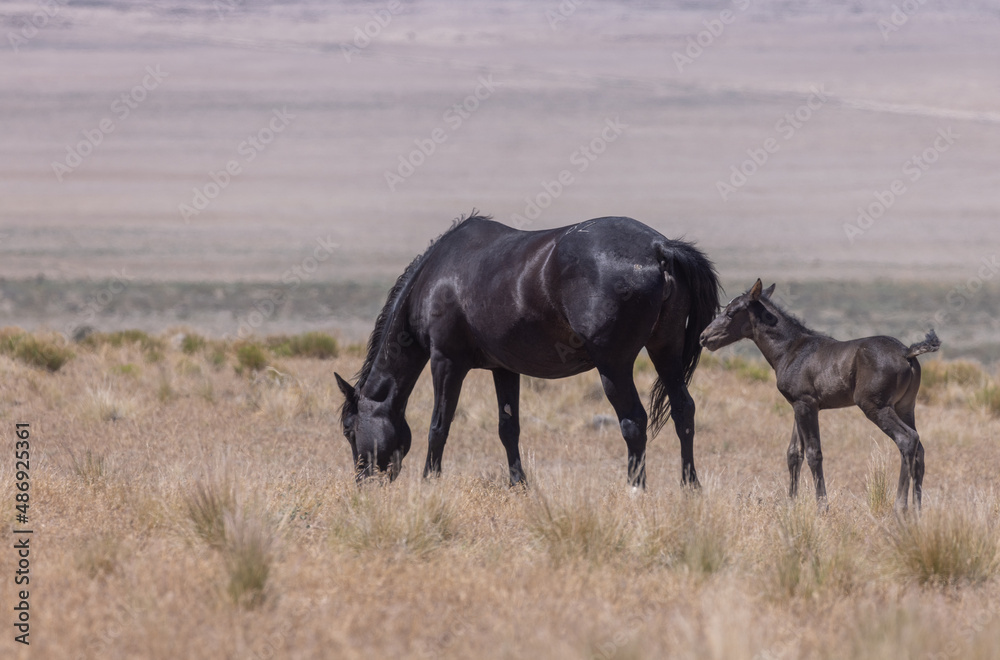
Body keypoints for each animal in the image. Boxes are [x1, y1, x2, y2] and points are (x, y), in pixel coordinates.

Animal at [336, 214, 720, 488]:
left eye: (349, 430)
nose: (362, 482)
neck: (437, 277)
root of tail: (659, 247)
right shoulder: (504, 368)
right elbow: (509, 428)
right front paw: (519, 485)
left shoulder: (446, 362)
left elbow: (438, 426)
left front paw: (430, 482)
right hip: (665, 351)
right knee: (683, 411)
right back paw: (690, 487)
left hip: (614, 365)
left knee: (633, 422)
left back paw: (635, 489)